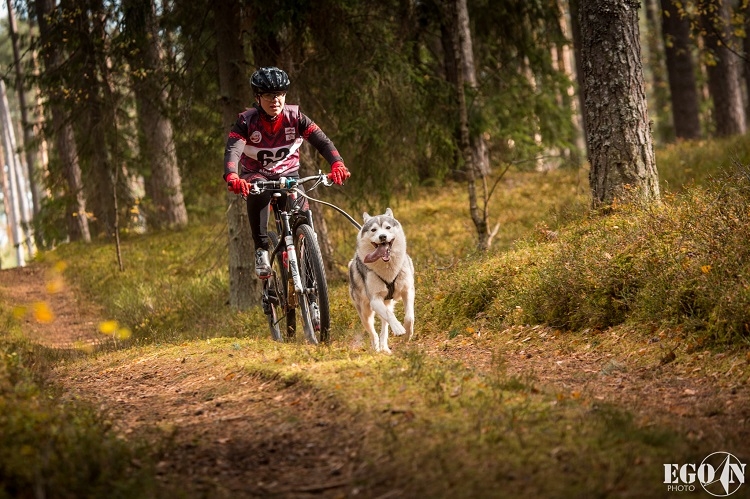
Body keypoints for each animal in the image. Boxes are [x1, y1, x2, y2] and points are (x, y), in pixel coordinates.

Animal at [348, 208, 414, 356]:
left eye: (387, 227)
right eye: (373, 230)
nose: (382, 237)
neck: (388, 268)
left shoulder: (408, 291)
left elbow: (409, 317)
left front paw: (408, 335)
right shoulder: (375, 300)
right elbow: (389, 316)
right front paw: (399, 329)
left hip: (386, 303)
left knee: (385, 325)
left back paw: (384, 346)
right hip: (365, 312)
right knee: (373, 332)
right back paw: (377, 347)